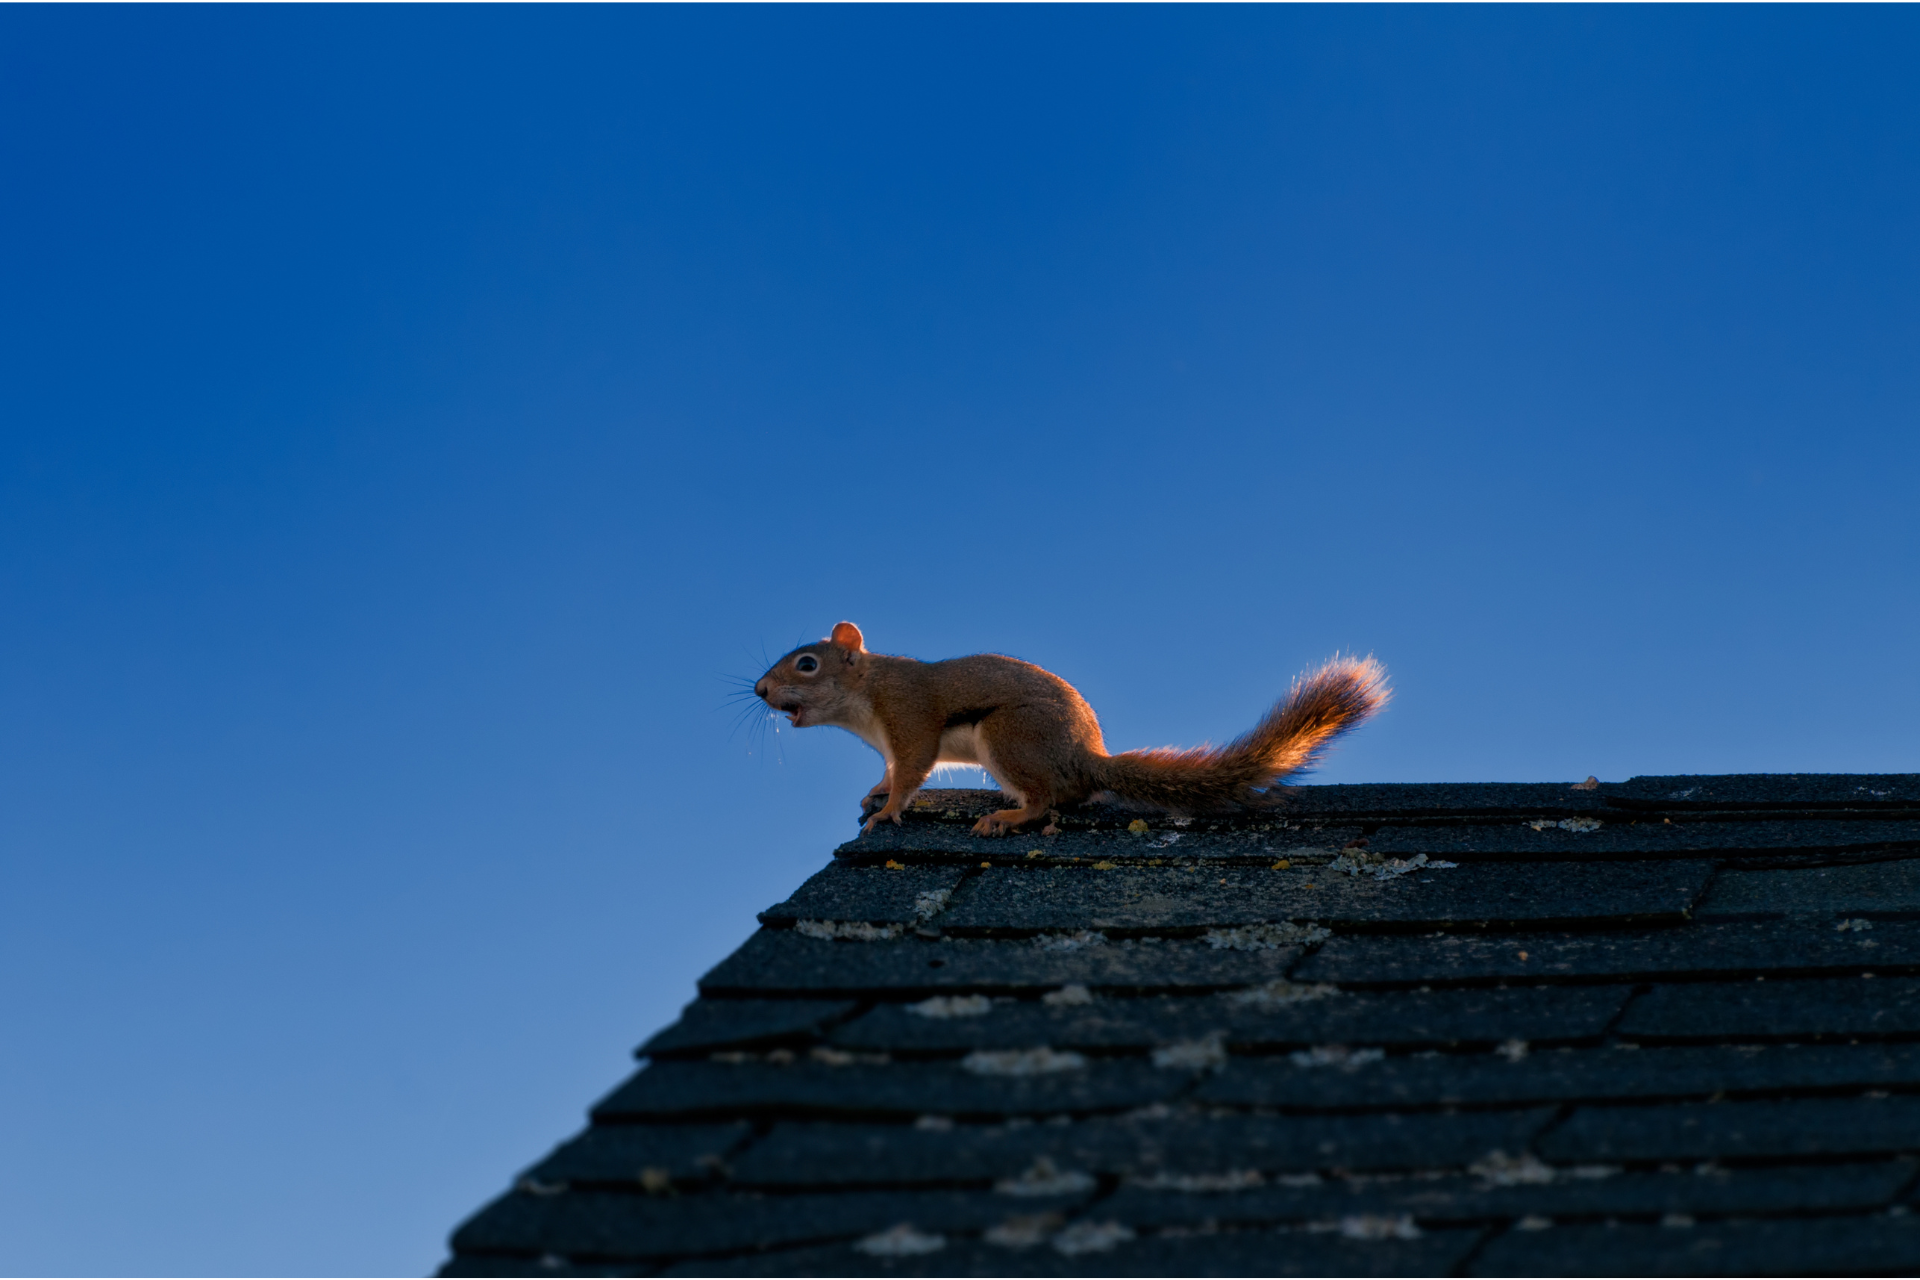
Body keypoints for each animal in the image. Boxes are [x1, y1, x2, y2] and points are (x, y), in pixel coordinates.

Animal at [754, 622, 1389, 837]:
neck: (867, 696)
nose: (758, 691)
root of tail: (1088, 756)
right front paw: (875, 793)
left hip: (1008, 737)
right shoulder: (887, 744)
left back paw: (1007, 817)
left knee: (1044, 801)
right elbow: (889, 771)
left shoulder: (910, 720)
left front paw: (887, 813)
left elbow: (911, 770)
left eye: (806, 664)